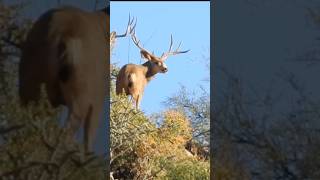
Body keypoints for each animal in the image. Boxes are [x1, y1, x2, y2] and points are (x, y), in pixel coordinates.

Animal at [19, 5, 112, 153]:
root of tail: (64, 34)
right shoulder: (97, 100)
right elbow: (88, 142)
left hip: (30, 89)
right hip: (80, 100)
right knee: (63, 137)